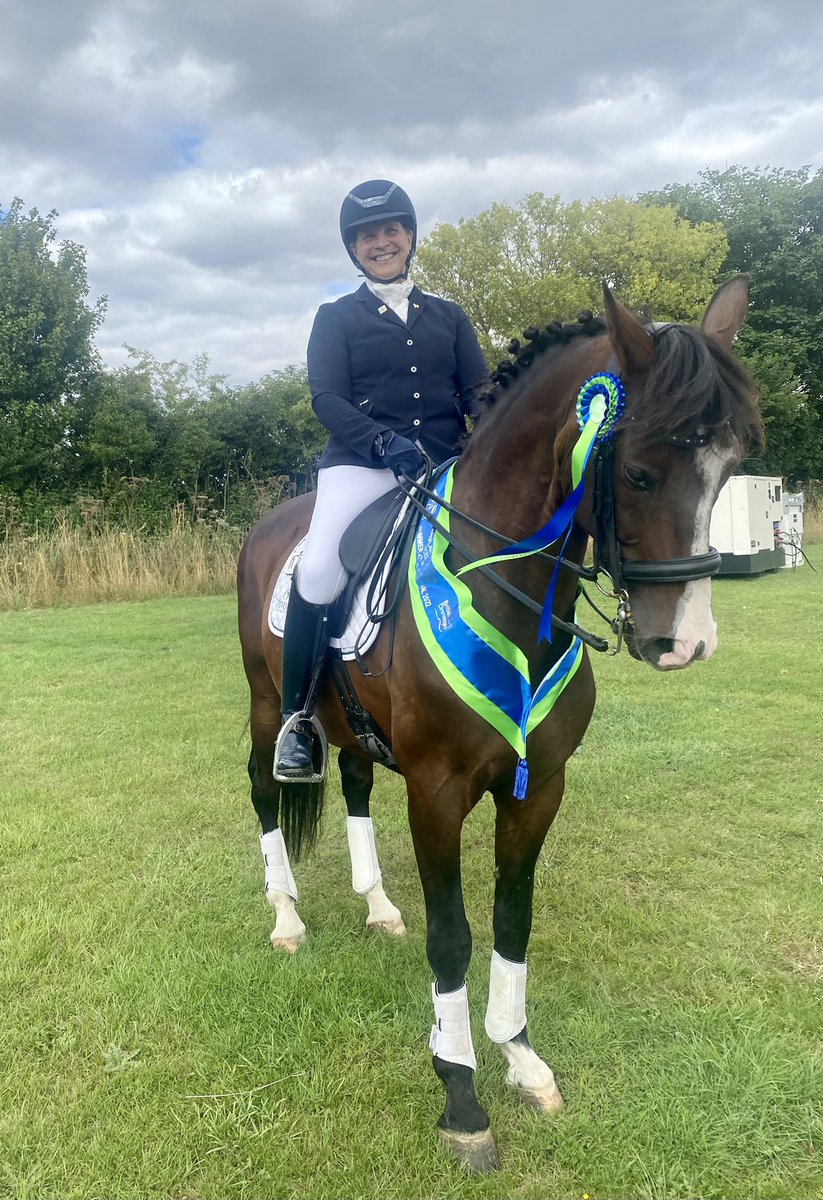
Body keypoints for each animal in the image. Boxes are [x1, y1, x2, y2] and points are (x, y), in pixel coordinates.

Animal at [236, 278, 762, 1172]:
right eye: (639, 471)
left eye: (728, 469)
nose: (684, 643)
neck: (507, 595)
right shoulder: (436, 793)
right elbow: (451, 937)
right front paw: (461, 1098)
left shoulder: (537, 788)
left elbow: (512, 921)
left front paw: (520, 1058)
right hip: (268, 703)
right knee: (266, 790)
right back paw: (287, 919)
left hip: (351, 725)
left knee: (353, 781)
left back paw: (376, 906)